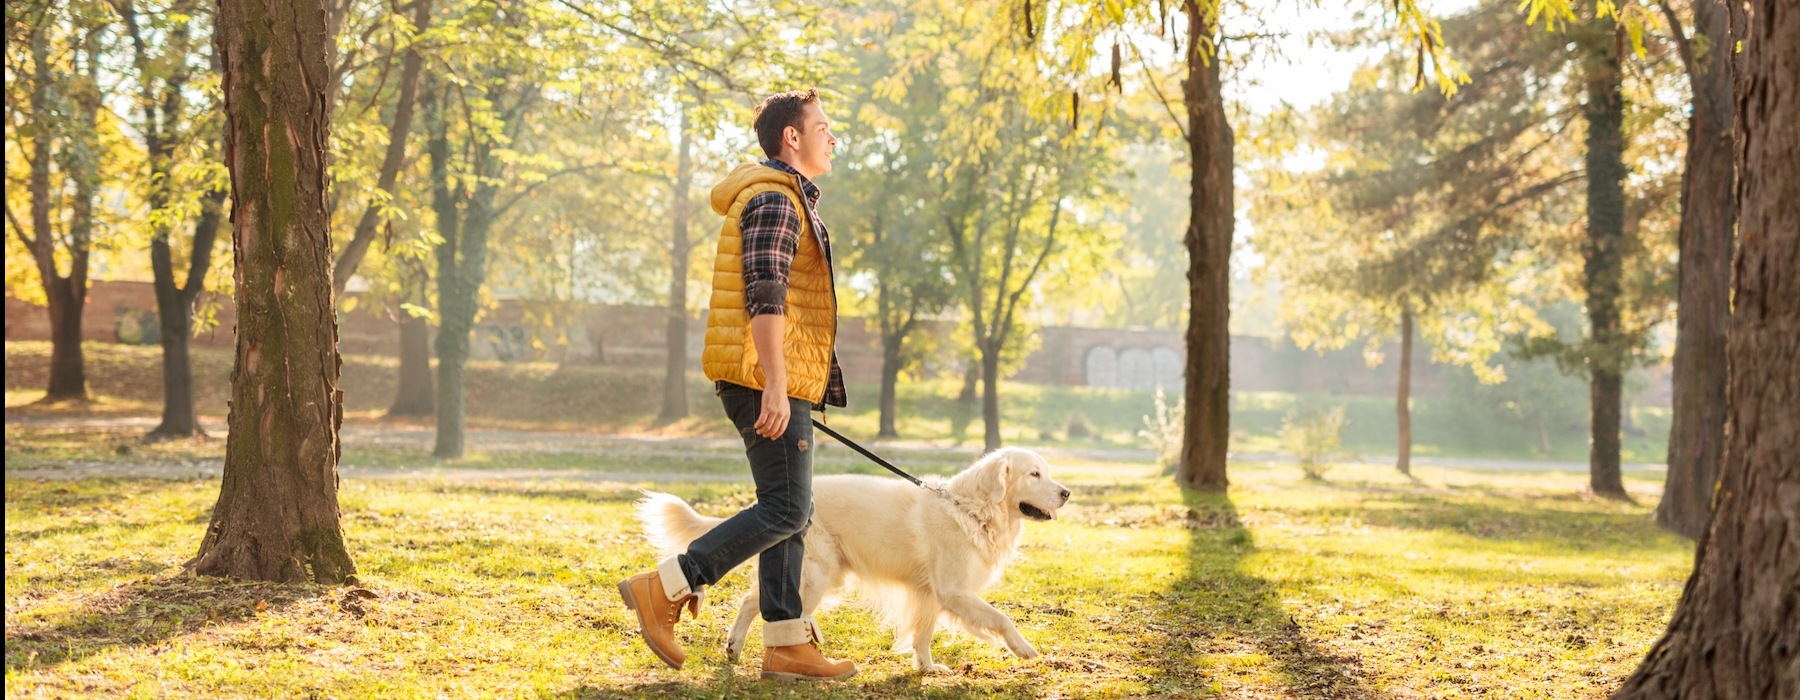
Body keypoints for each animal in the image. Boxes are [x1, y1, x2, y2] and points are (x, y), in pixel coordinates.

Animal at [637, 448, 1065, 669]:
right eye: (1034, 474)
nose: (1067, 493)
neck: (973, 509)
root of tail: (774, 505)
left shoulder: (930, 594)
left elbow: (923, 635)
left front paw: (926, 668)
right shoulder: (953, 590)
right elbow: (1001, 618)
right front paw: (1024, 648)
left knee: (751, 601)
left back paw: (734, 648)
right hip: (817, 577)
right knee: (763, 607)